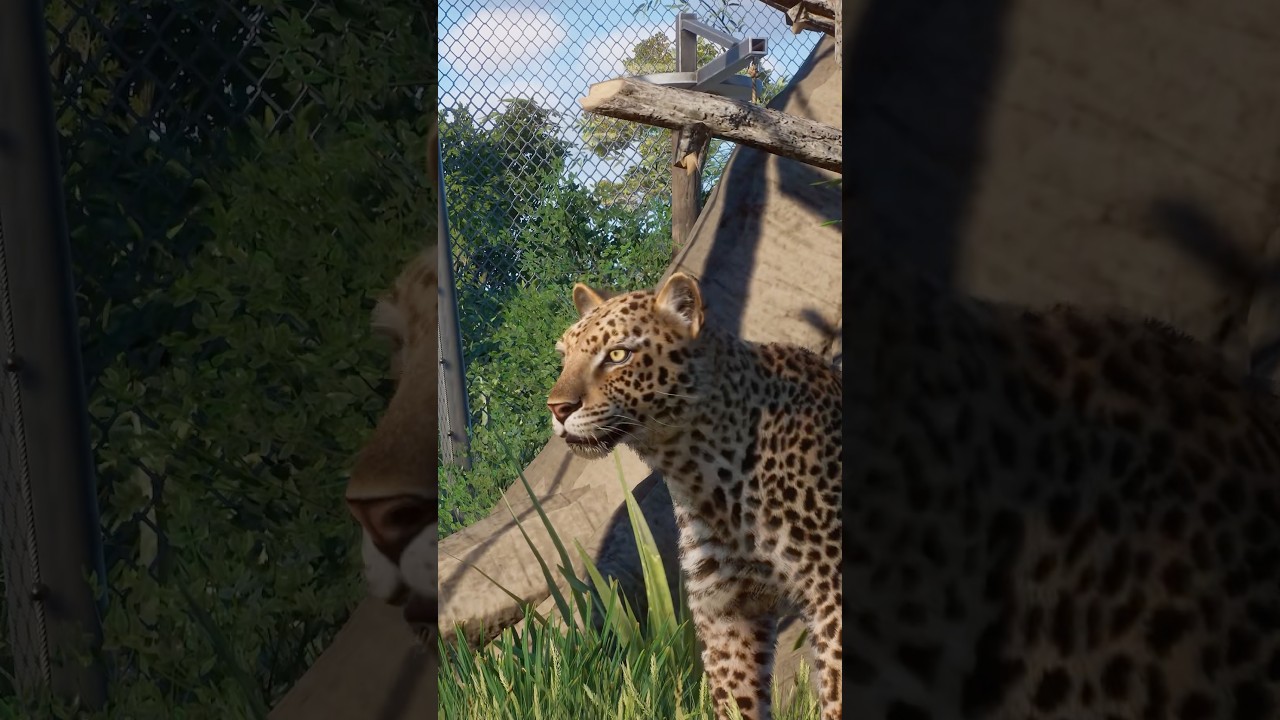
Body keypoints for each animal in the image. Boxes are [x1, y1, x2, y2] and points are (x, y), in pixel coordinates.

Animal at [547, 271, 844, 720]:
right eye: (565, 358)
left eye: (617, 355)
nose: (558, 408)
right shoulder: (726, 613)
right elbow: (736, 704)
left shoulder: (832, 597)